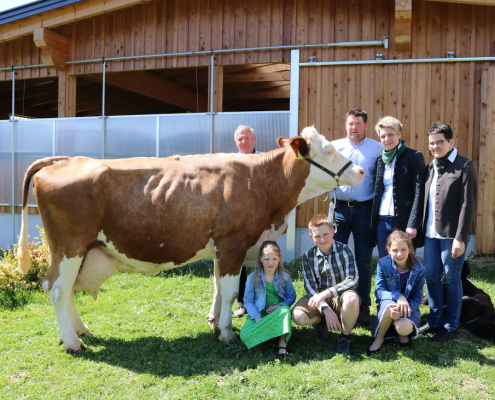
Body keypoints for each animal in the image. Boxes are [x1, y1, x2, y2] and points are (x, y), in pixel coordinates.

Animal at [17, 126, 364, 352]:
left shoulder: (223, 247)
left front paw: (214, 322)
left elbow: (217, 286)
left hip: (81, 251)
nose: (360, 171)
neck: (262, 184)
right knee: (57, 288)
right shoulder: (233, 242)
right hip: (69, 246)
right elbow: (229, 291)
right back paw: (73, 342)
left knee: (66, 290)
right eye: (329, 150)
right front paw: (227, 333)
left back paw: (80, 331)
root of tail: (63, 159)